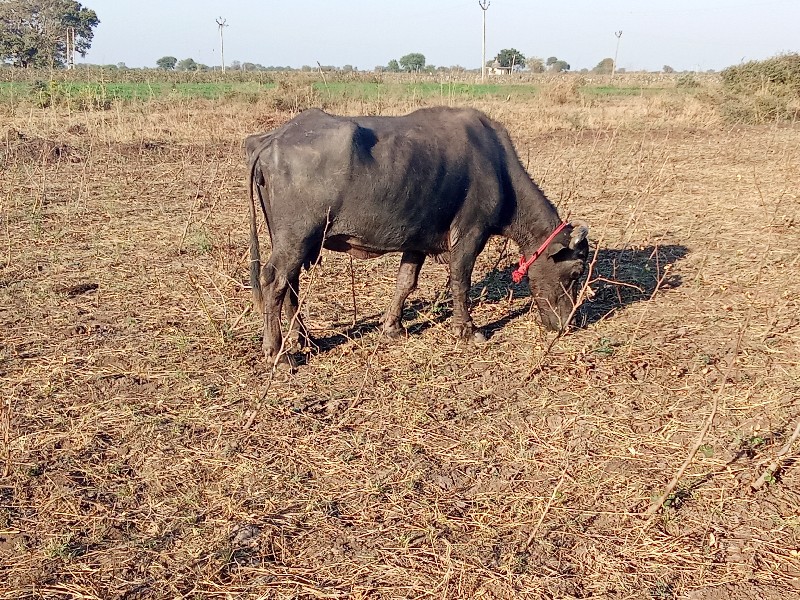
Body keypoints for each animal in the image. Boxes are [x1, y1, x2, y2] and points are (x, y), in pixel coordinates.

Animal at [247, 108, 592, 366]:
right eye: (575, 273)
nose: (570, 323)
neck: (497, 168)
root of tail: (273, 139)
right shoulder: (470, 234)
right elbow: (460, 282)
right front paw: (468, 330)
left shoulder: (416, 242)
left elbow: (406, 283)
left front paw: (393, 327)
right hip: (297, 237)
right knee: (273, 281)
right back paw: (277, 352)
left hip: (296, 241)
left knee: (290, 285)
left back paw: (306, 339)